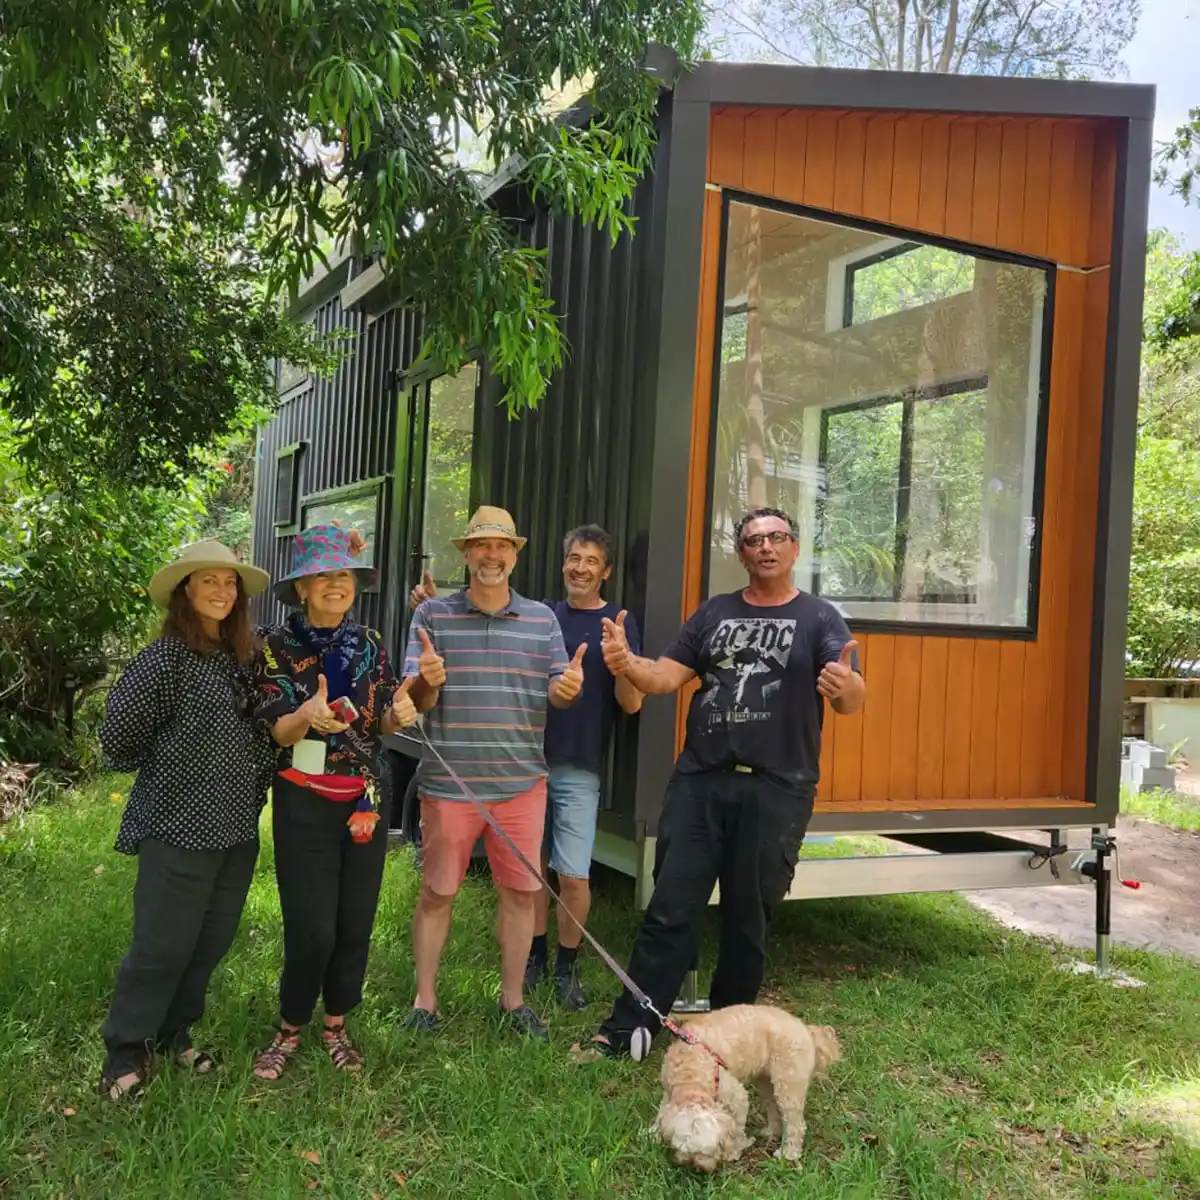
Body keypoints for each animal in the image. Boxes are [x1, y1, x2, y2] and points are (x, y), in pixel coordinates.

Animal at [652, 1003, 840, 1171]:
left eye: (707, 1152)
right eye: (685, 1151)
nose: (698, 1168)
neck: (690, 1076)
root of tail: (807, 1030)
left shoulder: (736, 1098)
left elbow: (736, 1130)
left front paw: (733, 1152)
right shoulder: (668, 1094)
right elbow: (661, 1113)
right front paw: (652, 1135)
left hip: (788, 1085)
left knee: (796, 1123)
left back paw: (789, 1152)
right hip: (766, 1083)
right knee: (774, 1107)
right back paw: (771, 1131)